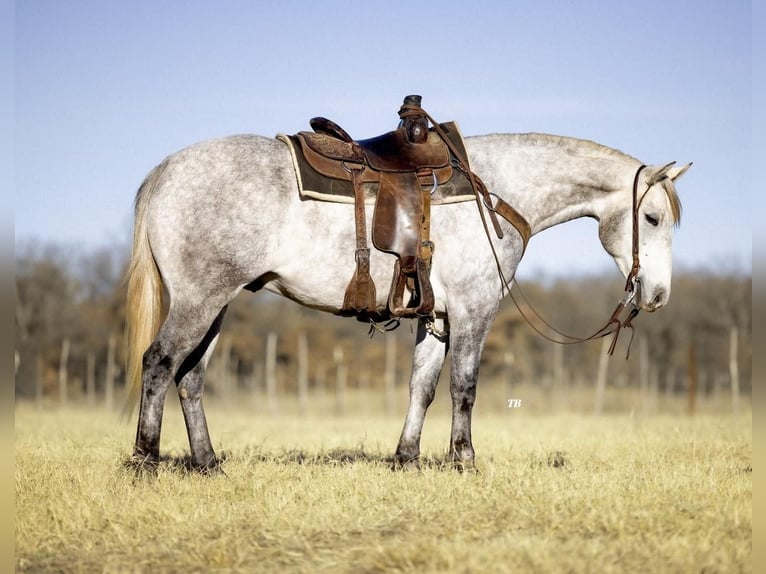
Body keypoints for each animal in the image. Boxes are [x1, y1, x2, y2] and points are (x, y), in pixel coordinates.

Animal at [126, 134, 688, 472]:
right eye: (653, 218)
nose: (659, 296)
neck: (493, 194)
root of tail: (167, 170)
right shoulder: (473, 313)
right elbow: (464, 388)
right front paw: (464, 459)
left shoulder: (436, 318)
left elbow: (423, 387)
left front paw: (407, 457)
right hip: (199, 301)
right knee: (159, 362)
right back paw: (145, 460)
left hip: (215, 306)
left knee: (190, 377)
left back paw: (207, 462)